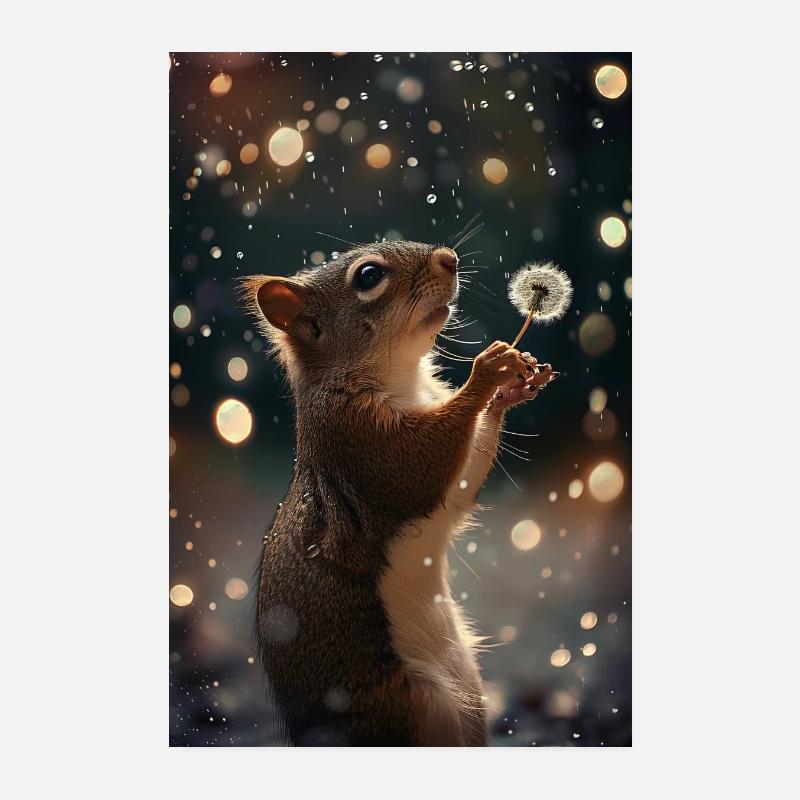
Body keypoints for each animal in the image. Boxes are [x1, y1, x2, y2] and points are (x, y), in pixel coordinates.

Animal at [241, 241, 557, 746]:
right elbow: (421, 466)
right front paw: (488, 370)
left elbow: (459, 482)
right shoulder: (359, 441)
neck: (400, 377)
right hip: (406, 709)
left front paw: (511, 388)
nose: (449, 258)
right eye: (369, 276)